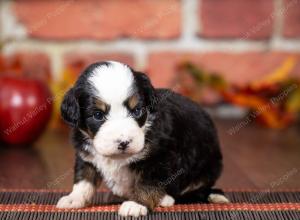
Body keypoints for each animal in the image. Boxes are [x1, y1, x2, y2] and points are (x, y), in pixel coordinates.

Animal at [56, 60, 230, 217]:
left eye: (137, 110)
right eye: (98, 115)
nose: (124, 142)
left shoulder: (158, 157)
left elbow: (147, 183)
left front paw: (137, 204)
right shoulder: (85, 154)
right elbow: (84, 179)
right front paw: (74, 198)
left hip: (208, 167)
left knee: (197, 190)